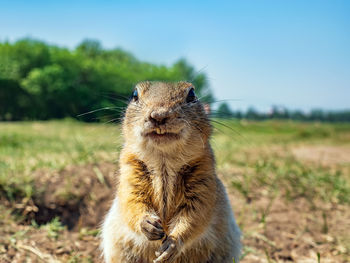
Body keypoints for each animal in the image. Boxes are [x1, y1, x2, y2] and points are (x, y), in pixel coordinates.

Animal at [102, 81, 241, 262]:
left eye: (192, 94)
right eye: (134, 95)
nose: (159, 115)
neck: (164, 161)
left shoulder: (203, 179)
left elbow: (195, 214)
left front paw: (172, 244)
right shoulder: (130, 172)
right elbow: (131, 201)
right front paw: (147, 224)